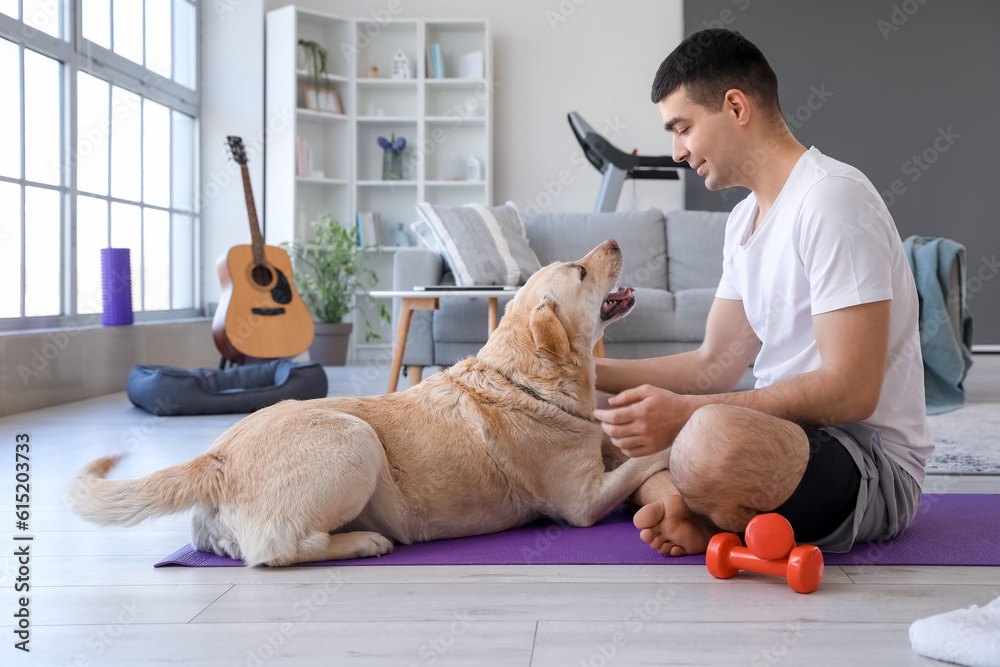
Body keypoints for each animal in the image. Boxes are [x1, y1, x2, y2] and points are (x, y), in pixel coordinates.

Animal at [68, 240, 664, 564]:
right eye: (580, 271)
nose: (614, 240)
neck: (526, 380)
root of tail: (214, 457)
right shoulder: (582, 502)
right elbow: (646, 460)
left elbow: (620, 446)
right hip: (356, 439)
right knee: (277, 550)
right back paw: (362, 544)